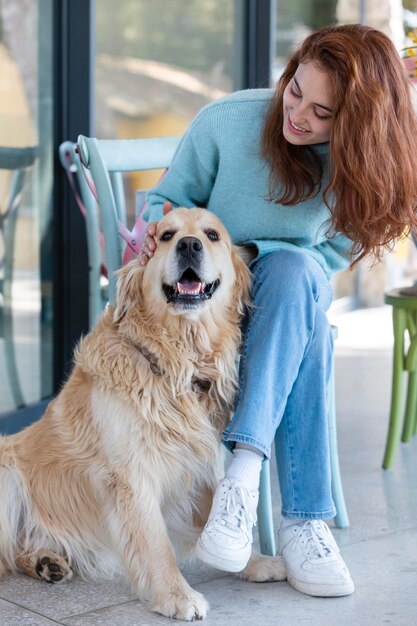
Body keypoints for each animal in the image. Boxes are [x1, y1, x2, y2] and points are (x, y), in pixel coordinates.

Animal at [0, 207, 284, 616]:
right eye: (165, 236)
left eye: (212, 235)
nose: (189, 245)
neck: (176, 362)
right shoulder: (132, 474)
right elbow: (156, 542)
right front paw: (176, 596)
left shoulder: (200, 460)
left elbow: (214, 510)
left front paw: (252, 561)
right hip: (7, 474)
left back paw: (46, 561)